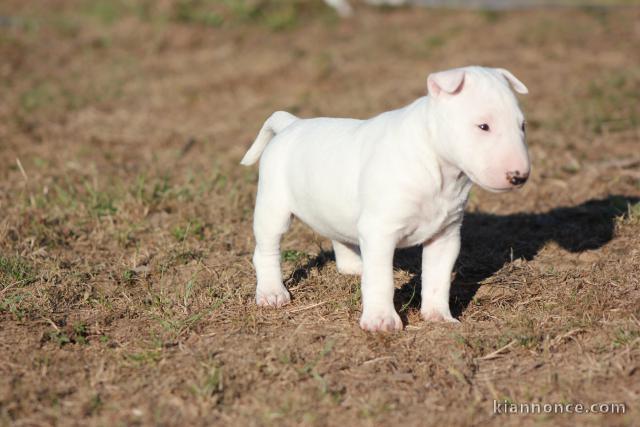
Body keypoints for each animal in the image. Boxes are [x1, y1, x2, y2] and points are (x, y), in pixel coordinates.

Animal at [240, 65, 528, 332]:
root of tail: (291, 124)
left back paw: (354, 266)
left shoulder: (445, 235)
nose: (520, 176)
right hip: (273, 207)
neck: (435, 164)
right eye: (483, 126)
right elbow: (381, 280)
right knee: (266, 251)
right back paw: (271, 293)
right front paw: (381, 321)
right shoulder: (380, 230)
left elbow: (438, 278)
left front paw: (439, 317)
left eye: (522, 125)